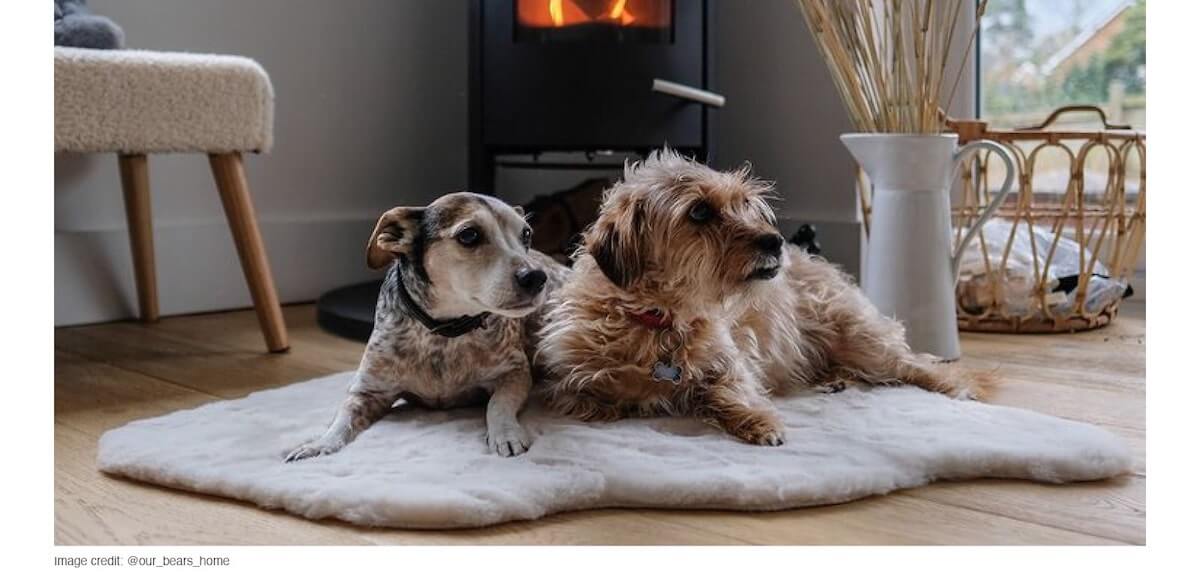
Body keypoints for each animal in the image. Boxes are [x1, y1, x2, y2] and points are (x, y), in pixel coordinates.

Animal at [540, 150, 988, 446]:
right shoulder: (568, 384)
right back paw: (832, 380)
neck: (657, 318)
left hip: (857, 335)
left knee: (910, 364)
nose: (775, 241)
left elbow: (727, 390)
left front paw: (757, 421)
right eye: (699, 212)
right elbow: (592, 401)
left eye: (745, 204)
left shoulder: (732, 363)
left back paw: (954, 387)